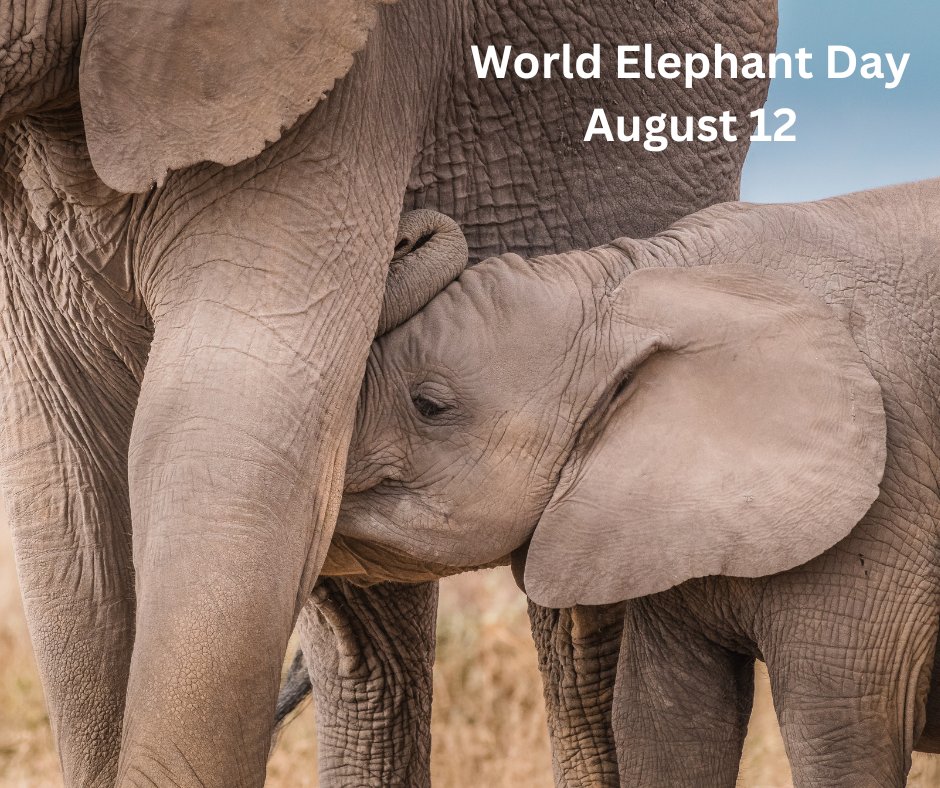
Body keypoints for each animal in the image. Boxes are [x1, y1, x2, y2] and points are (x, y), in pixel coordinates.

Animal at [326, 177, 940, 787]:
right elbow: (663, 722)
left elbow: (840, 732)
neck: (641, 281)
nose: (406, 234)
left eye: (429, 405)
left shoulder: (891, 498)